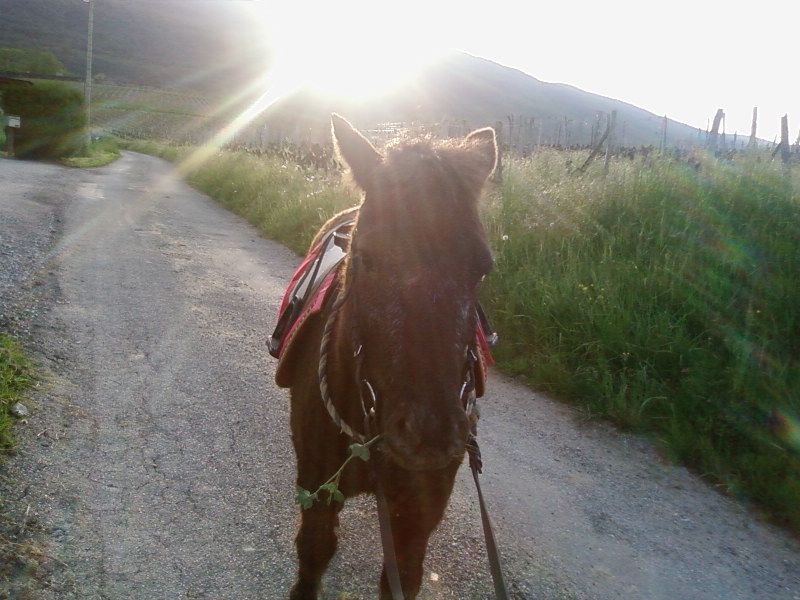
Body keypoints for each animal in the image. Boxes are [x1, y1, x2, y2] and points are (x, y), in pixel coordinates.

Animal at [277, 114, 497, 599]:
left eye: (482, 268)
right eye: (367, 257)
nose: (430, 436)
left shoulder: (416, 516)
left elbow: (403, 575)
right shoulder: (318, 490)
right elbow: (314, 551)